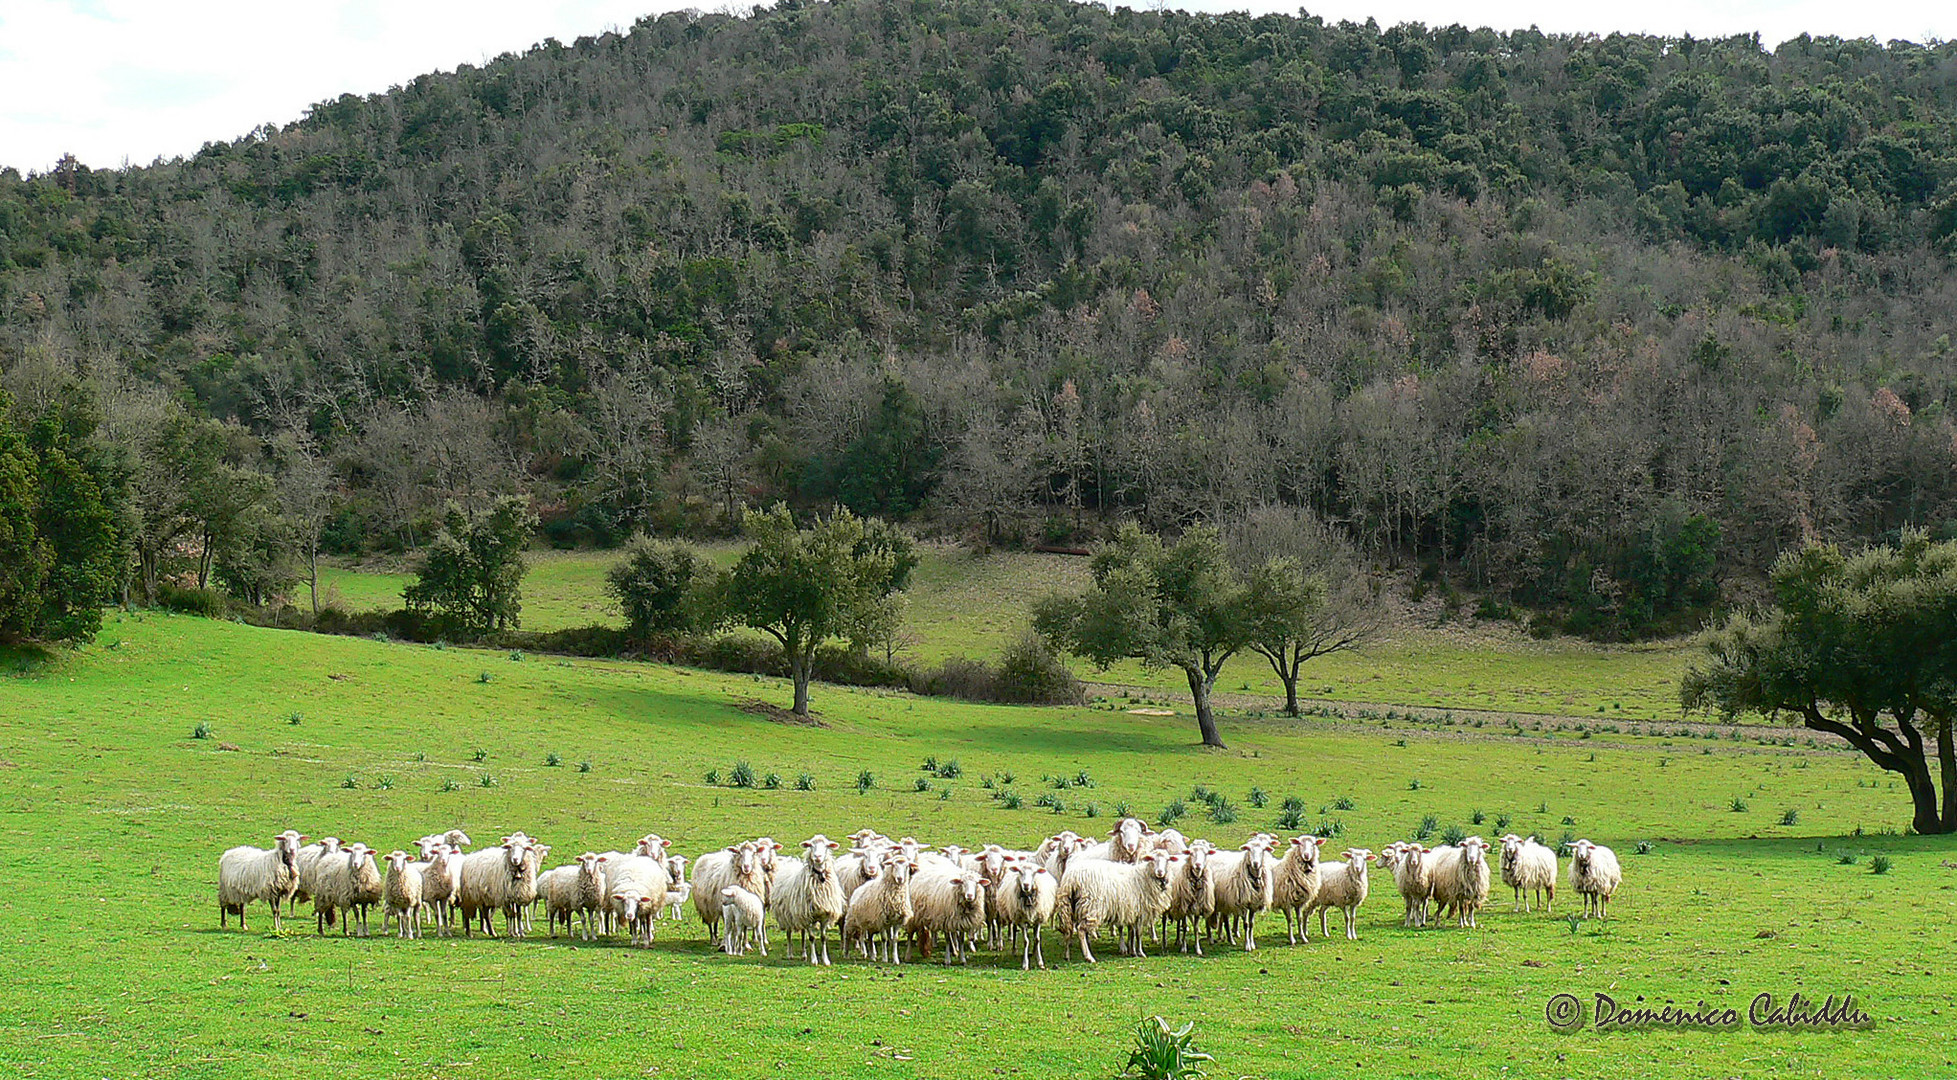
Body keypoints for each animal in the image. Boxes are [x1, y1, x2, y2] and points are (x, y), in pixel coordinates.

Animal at [767, 833, 845, 962]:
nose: (817, 856)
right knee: (789, 933)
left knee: (803, 934)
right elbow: (812, 937)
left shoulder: (825, 915)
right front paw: (814, 960)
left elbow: (823, 937)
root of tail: (791, 861)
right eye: (811, 845)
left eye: (826, 846)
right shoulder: (807, 916)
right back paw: (790, 953)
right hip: (787, 914)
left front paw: (825, 960)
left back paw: (804, 954)